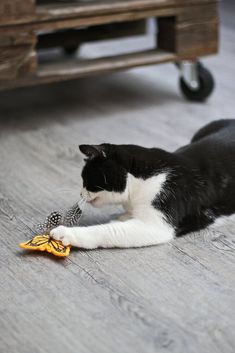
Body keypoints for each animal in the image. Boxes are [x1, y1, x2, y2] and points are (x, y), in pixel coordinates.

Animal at [50, 119, 235, 249]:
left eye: (87, 178)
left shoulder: (158, 222)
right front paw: (123, 216)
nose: (81, 194)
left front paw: (67, 234)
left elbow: (109, 230)